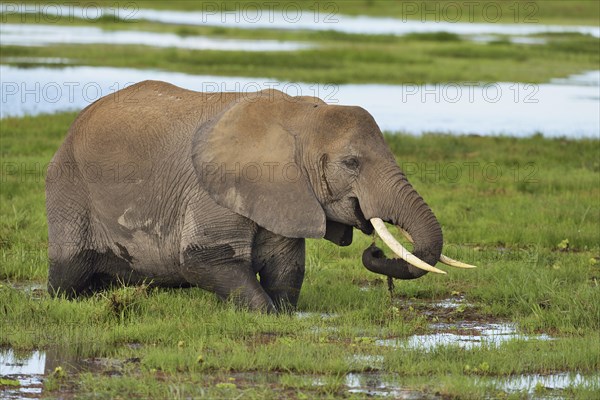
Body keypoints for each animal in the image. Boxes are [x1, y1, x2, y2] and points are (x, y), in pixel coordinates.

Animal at [45, 80, 474, 312]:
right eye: (351, 163)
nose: (374, 251)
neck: (301, 117)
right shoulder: (209, 190)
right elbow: (203, 260)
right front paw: (264, 315)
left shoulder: (286, 193)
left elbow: (286, 266)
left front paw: (284, 314)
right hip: (69, 188)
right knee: (68, 274)